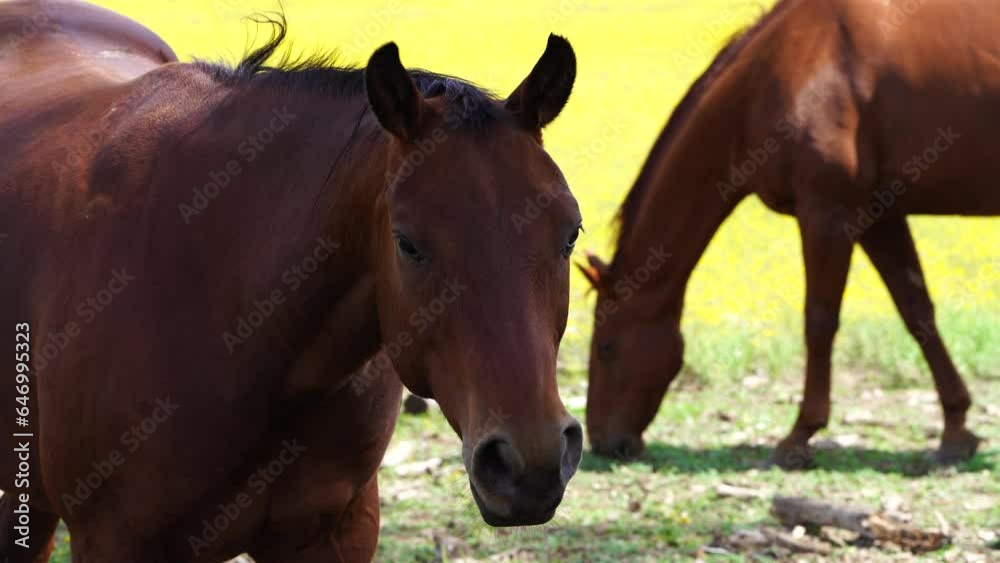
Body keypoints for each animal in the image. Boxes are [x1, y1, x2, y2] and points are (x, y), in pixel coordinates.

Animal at [579, 0, 998, 468]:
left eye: (606, 348)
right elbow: (917, 311)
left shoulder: (826, 214)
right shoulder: (879, 216)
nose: (604, 442)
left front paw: (799, 436)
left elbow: (819, 321)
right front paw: (956, 428)